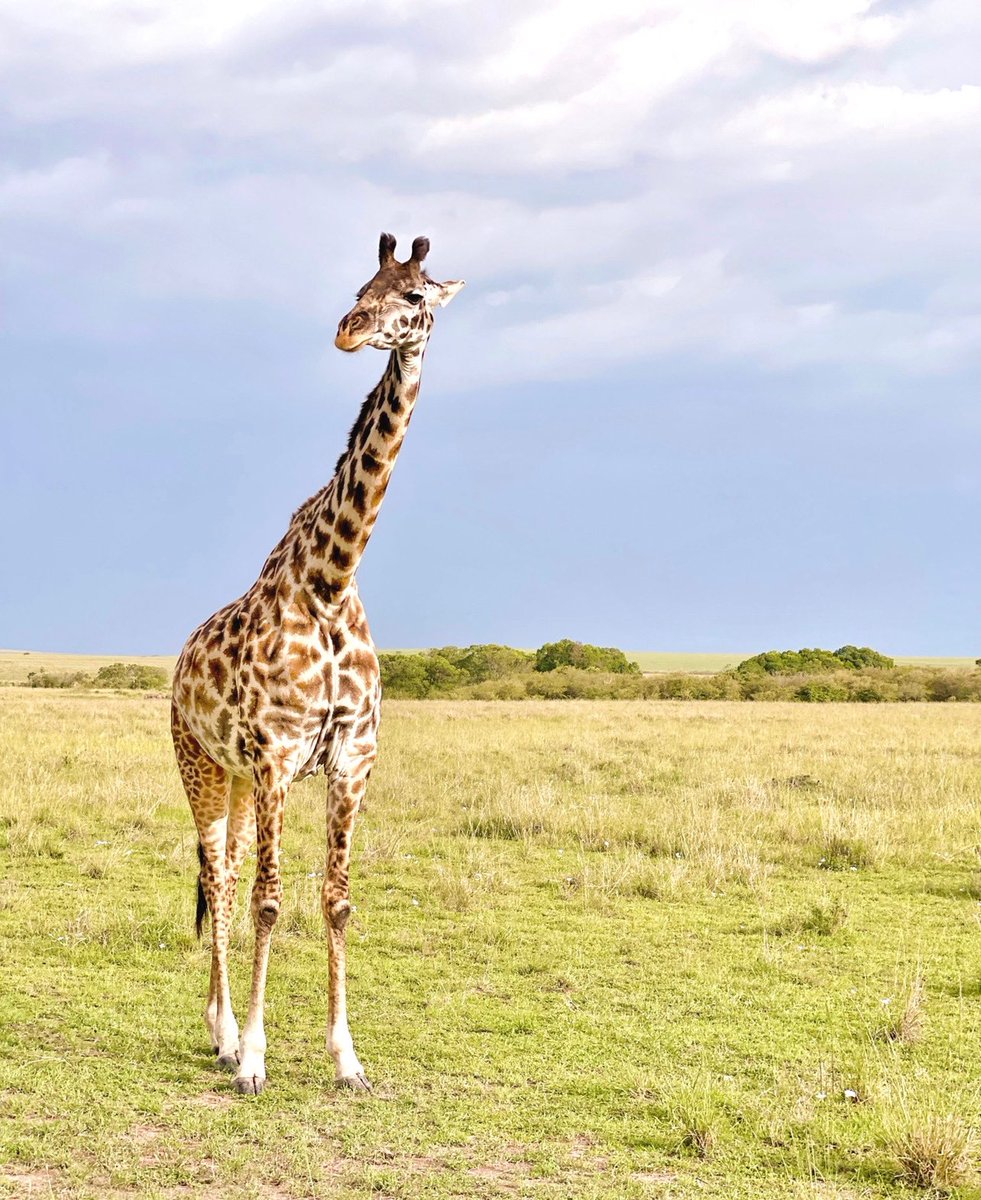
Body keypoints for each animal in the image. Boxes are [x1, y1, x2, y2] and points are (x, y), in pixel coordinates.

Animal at [171, 232, 464, 1095]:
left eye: (413, 297)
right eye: (361, 285)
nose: (347, 329)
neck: (331, 582)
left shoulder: (351, 757)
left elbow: (335, 900)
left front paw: (347, 1058)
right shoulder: (275, 753)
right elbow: (271, 901)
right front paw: (255, 1060)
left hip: (234, 779)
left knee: (227, 873)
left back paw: (220, 1030)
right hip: (201, 763)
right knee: (220, 877)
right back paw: (224, 1036)